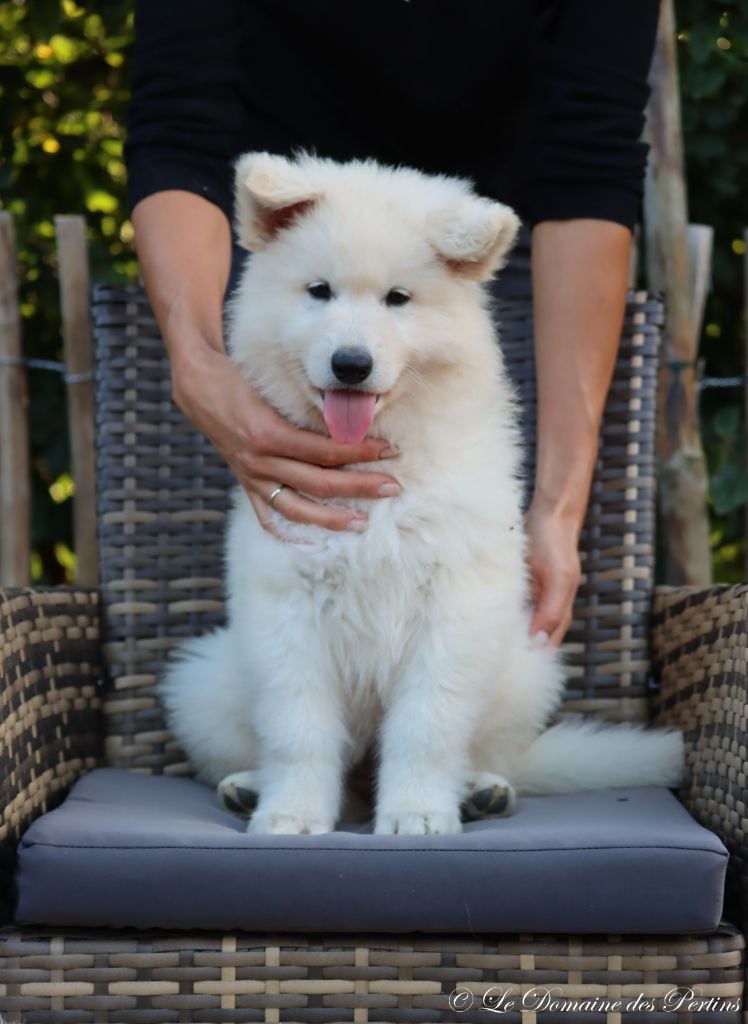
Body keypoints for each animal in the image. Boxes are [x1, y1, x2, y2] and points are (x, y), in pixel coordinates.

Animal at [158, 153, 680, 839]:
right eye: (318, 291)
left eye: (398, 299)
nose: (351, 364)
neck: (380, 460)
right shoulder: (286, 609)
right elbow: (299, 729)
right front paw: (291, 814)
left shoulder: (454, 608)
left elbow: (427, 726)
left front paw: (417, 815)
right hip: (207, 678)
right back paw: (250, 788)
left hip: (524, 669)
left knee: (489, 754)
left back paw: (480, 791)